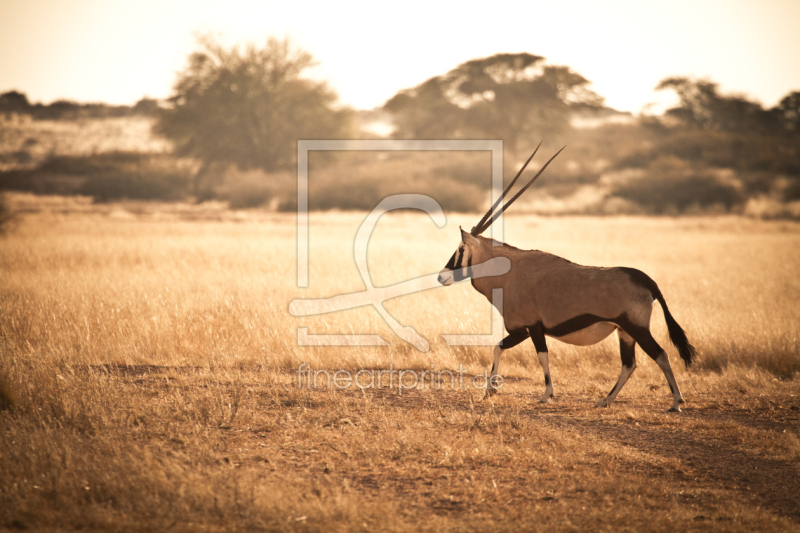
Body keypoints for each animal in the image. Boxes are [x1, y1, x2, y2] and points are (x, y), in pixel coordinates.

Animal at [438, 144, 692, 412]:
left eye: (461, 248)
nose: (442, 276)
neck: (510, 273)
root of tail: (646, 280)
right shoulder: (522, 330)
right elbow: (499, 347)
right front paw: (490, 390)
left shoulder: (531, 327)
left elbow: (542, 356)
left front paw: (546, 394)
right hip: (624, 332)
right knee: (629, 364)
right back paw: (605, 400)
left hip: (637, 328)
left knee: (660, 355)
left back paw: (676, 401)